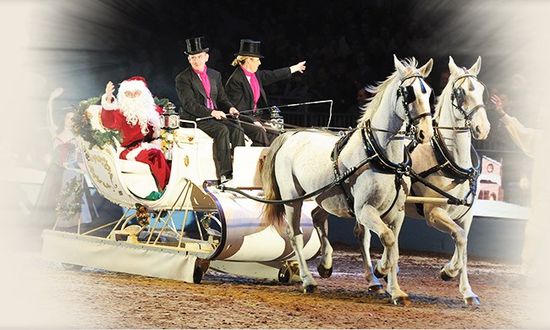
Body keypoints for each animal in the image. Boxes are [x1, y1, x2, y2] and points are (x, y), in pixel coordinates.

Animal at [264, 56, 436, 304]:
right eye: (408, 93)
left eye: (429, 92)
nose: (426, 133)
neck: (380, 155)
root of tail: (291, 135)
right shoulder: (365, 210)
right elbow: (387, 239)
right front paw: (381, 270)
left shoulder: (398, 212)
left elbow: (393, 246)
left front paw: (395, 290)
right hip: (292, 199)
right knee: (294, 235)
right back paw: (308, 280)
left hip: (325, 196)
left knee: (317, 217)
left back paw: (326, 265)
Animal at [356, 55, 490, 306]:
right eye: (460, 93)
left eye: (481, 90)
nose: (482, 128)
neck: (447, 156)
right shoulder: (433, 213)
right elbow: (459, 236)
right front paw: (450, 272)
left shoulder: (467, 215)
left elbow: (464, 242)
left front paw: (466, 290)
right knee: (364, 236)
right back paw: (374, 277)